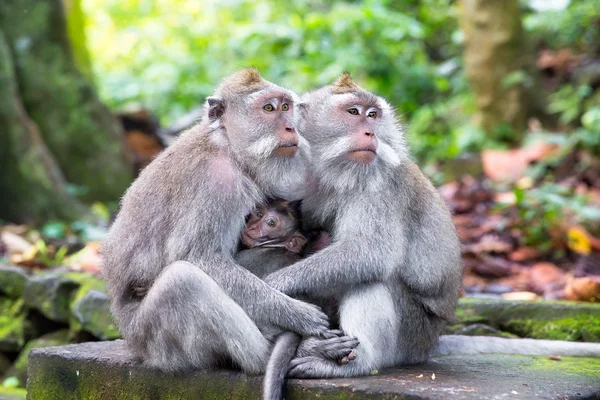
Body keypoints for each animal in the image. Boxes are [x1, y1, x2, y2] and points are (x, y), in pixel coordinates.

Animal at [103, 68, 344, 372]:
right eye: (268, 108)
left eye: (286, 107)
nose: (292, 128)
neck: (226, 146)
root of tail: (130, 340)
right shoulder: (216, 182)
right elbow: (199, 257)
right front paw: (298, 315)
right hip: (155, 343)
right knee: (182, 282)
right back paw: (275, 354)